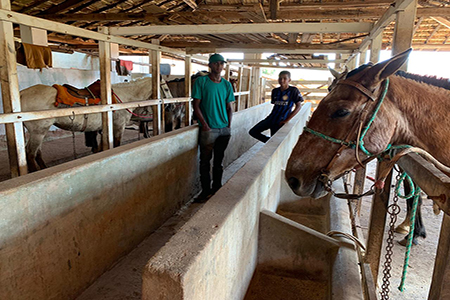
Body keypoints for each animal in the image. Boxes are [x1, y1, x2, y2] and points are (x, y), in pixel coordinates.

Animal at [20, 76, 153, 172]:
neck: (124, 97)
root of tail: (21, 93)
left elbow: (100, 147)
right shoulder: (119, 126)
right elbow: (116, 144)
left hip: (40, 131)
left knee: (37, 152)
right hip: (38, 132)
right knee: (30, 153)